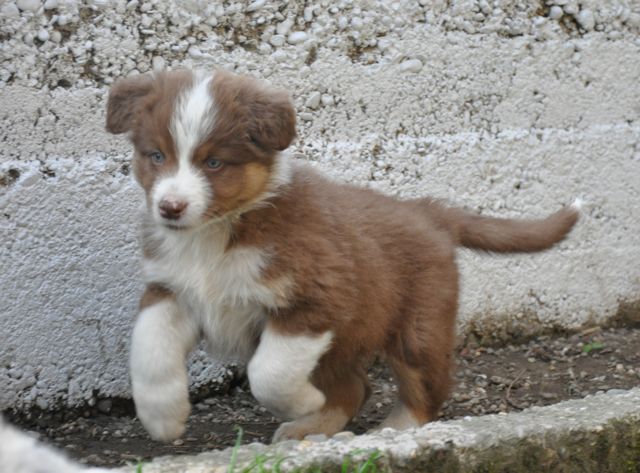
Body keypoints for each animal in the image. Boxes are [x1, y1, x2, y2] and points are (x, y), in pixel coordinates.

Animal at [106, 68, 580, 440]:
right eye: (156, 155)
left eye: (214, 163)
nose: (170, 208)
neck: (216, 233)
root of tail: (425, 210)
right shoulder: (172, 290)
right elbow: (149, 351)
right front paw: (163, 418)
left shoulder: (317, 299)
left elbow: (268, 372)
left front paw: (301, 402)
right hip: (348, 340)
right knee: (356, 388)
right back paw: (312, 428)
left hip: (417, 327)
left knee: (426, 388)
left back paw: (392, 430)